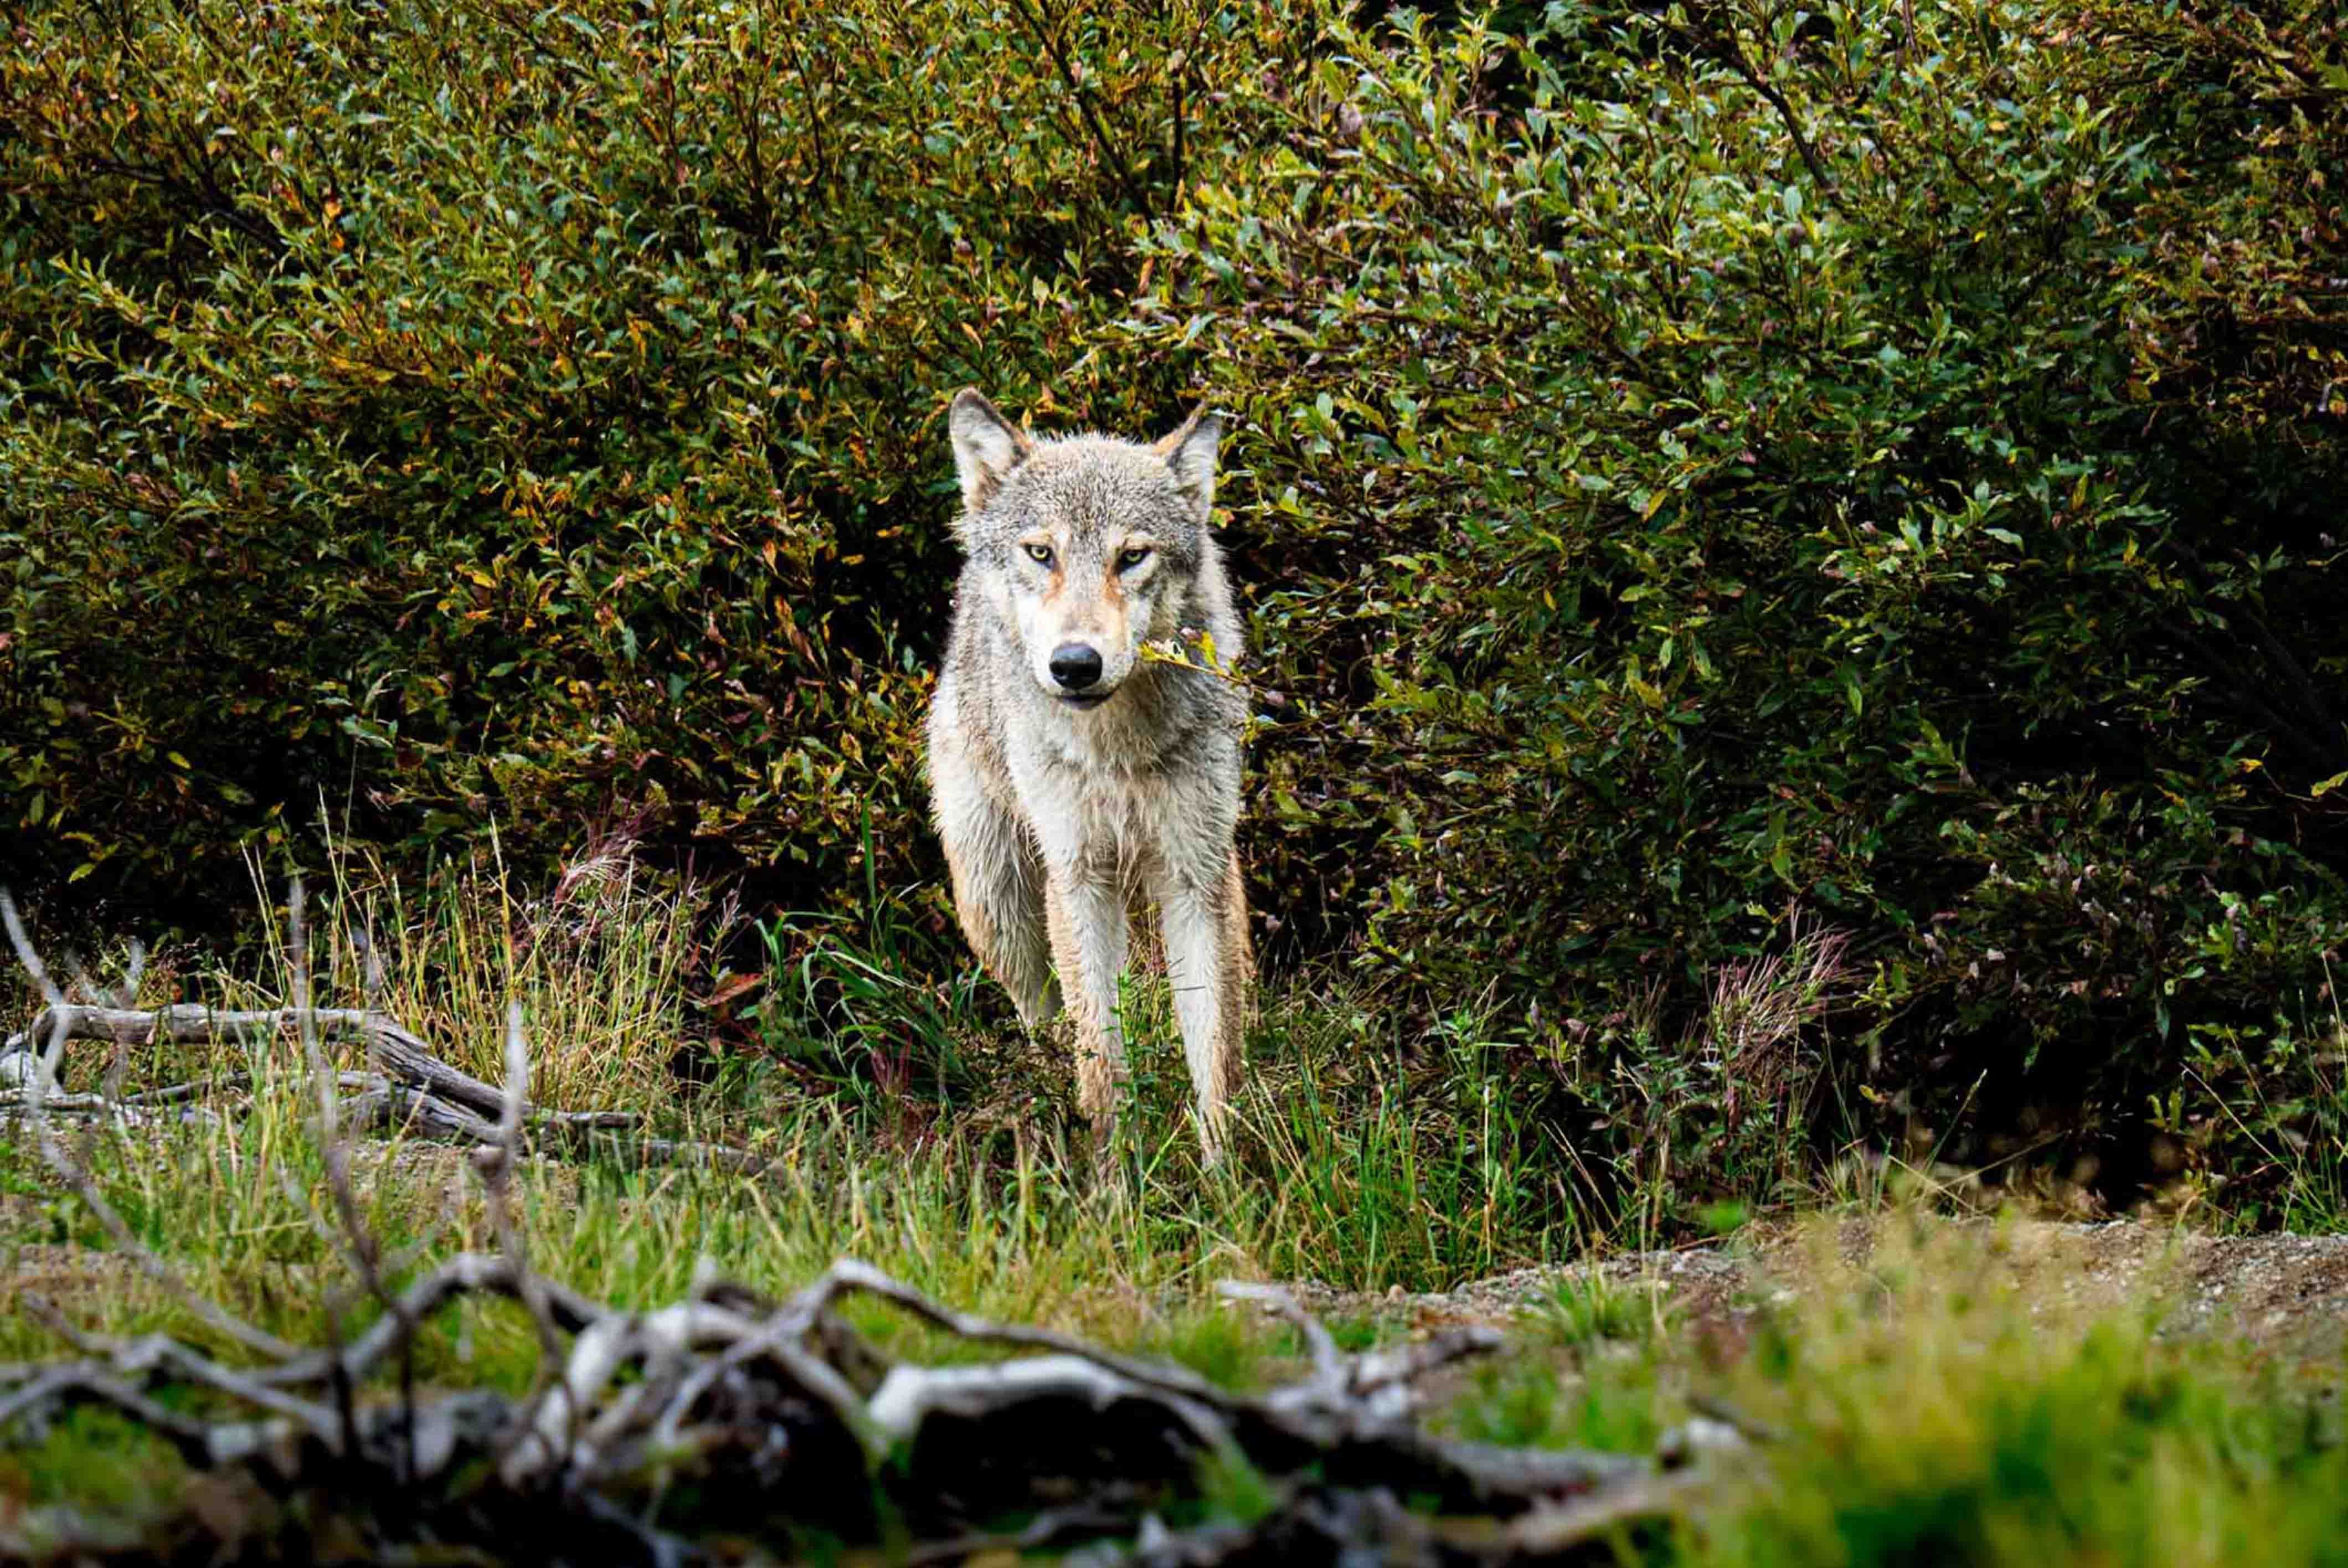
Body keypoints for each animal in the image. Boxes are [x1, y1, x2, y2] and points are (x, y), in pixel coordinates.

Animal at [925, 388, 1251, 1164]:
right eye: (1041, 553)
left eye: (1131, 556)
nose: (1075, 665)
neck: (1119, 751)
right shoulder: (1077, 878)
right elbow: (1100, 1059)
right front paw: (1114, 1177)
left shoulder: (1196, 878)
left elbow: (1213, 1060)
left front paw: (1227, 1183)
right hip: (998, 907)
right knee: (1048, 1026)